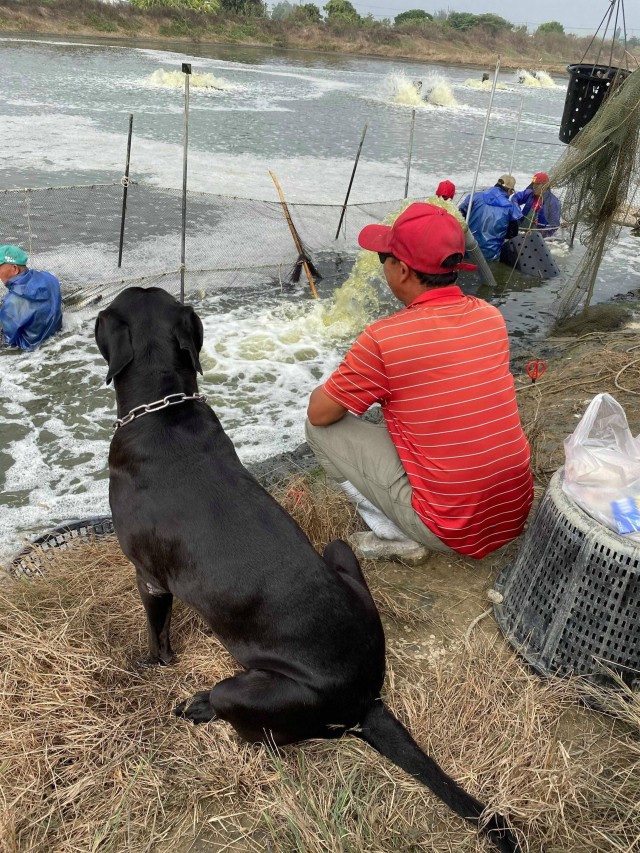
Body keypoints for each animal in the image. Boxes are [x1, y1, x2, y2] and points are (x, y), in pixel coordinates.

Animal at [96, 288, 524, 852]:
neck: (165, 408)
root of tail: (367, 699)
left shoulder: (148, 576)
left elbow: (157, 634)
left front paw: (150, 664)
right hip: (338, 550)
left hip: (248, 689)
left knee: (273, 733)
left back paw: (204, 706)